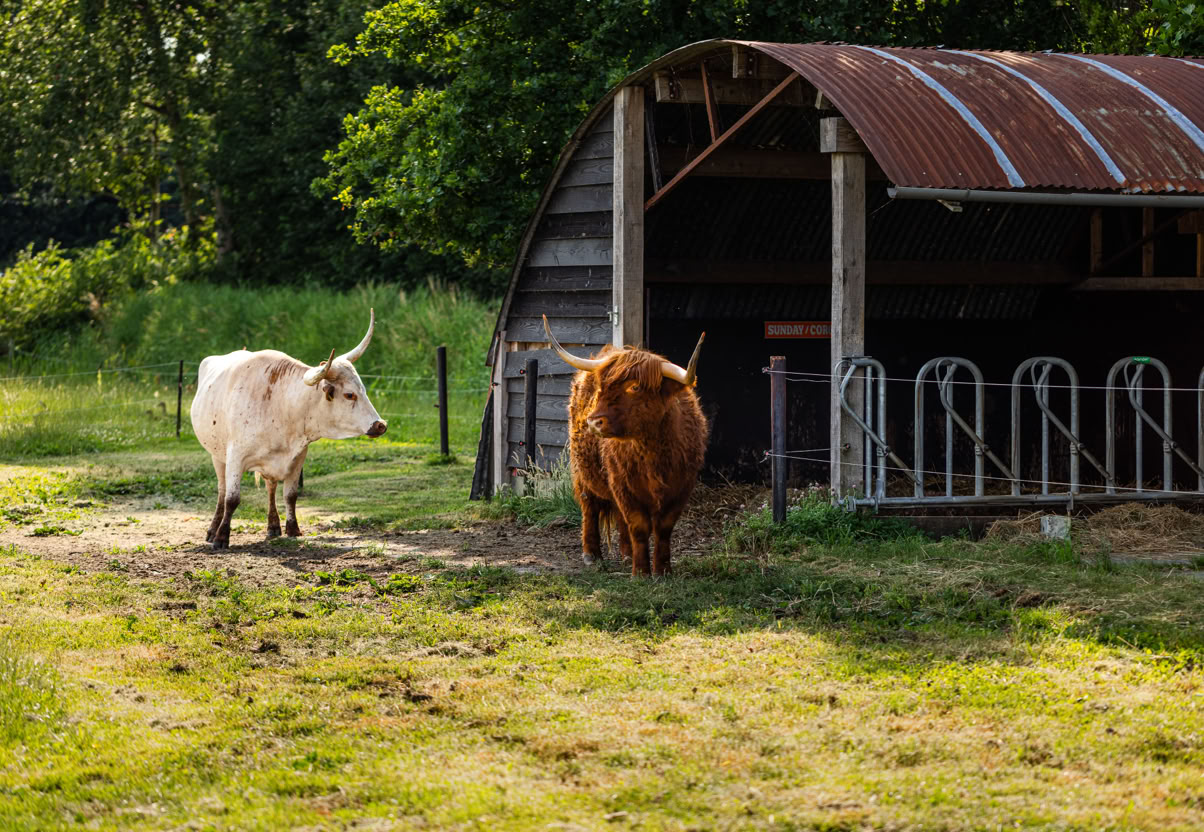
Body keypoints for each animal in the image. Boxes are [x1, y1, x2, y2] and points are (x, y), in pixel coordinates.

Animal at [191, 310, 387, 549]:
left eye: (363, 390)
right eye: (349, 394)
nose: (380, 425)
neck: (281, 405)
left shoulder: (297, 457)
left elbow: (291, 495)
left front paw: (293, 529)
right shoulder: (235, 456)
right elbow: (232, 498)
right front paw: (221, 537)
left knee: (271, 487)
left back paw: (273, 526)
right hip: (217, 456)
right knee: (221, 491)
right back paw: (213, 530)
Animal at [542, 315, 708, 577]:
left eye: (635, 387)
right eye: (602, 387)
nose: (593, 421)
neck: (653, 452)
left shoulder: (681, 487)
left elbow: (663, 528)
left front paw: (662, 570)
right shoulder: (624, 486)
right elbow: (638, 526)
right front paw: (640, 572)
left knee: (619, 518)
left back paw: (626, 554)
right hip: (583, 472)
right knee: (589, 507)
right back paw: (592, 554)